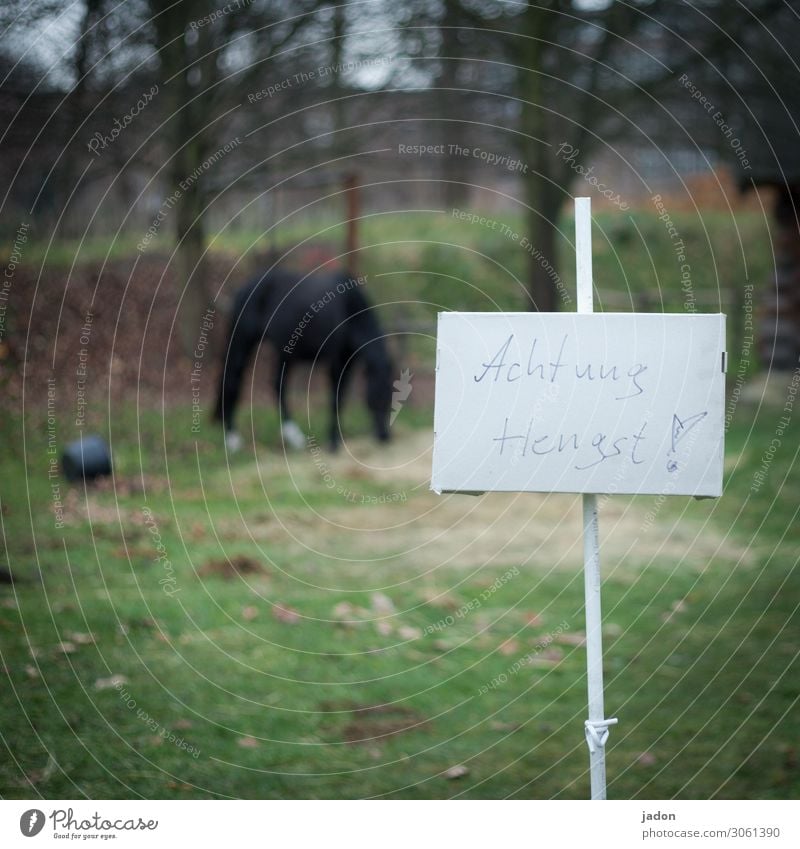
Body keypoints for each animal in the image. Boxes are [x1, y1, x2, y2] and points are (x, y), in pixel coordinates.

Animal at [212, 266, 394, 450]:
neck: (349, 309)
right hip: (242, 341)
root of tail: (243, 289)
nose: (384, 436)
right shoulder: (336, 362)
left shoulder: (348, 362)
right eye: (377, 396)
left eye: (391, 396)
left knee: (277, 385)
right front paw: (333, 442)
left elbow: (341, 397)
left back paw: (293, 436)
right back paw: (232, 439)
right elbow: (335, 398)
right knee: (232, 381)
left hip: (284, 353)